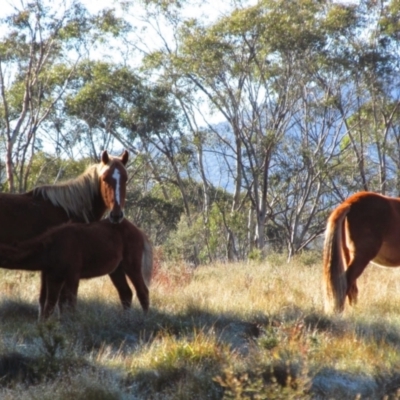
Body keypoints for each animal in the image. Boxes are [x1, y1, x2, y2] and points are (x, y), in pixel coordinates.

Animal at [0, 217, 152, 320]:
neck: (49, 249)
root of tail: (140, 233)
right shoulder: (51, 274)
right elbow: (50, 303)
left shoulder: (72, 273)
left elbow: (68, 302)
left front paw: (70, 324)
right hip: (116, 269)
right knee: (126, 293)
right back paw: (125, 319)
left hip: (131, 263)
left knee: (142, 291)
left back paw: (144, 319)